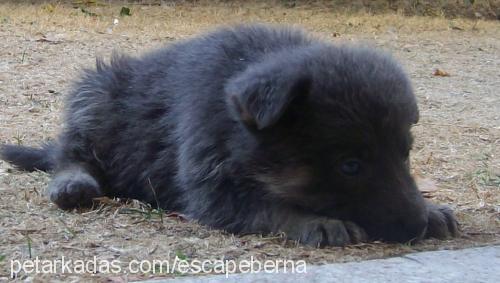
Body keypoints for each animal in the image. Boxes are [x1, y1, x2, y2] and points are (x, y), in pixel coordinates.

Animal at [1, 23, 458, 246]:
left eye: (405, 154)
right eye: (350, 165)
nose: (417, 224)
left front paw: (434, 209)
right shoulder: (215, 193)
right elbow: (270, 208)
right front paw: (316, 221)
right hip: (96, 99)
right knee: (70, 152)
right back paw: (73, 182)